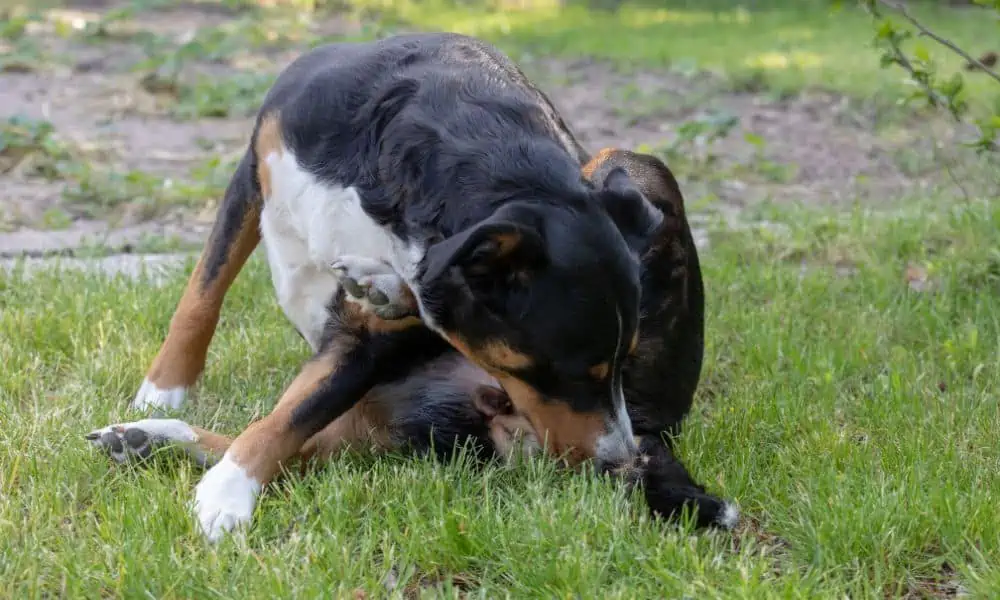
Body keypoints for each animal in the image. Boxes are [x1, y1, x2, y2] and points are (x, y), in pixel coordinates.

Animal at [88, 31, 736, 540]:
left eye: (619, 367)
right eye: (564, 373)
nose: (618, 461)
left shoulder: (369, 342)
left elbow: (289, 419)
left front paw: (226, 495)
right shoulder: (255, 167)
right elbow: (203, 294)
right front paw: (163, 391)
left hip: (630, 163)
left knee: (309, 440)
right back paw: (149, 435)